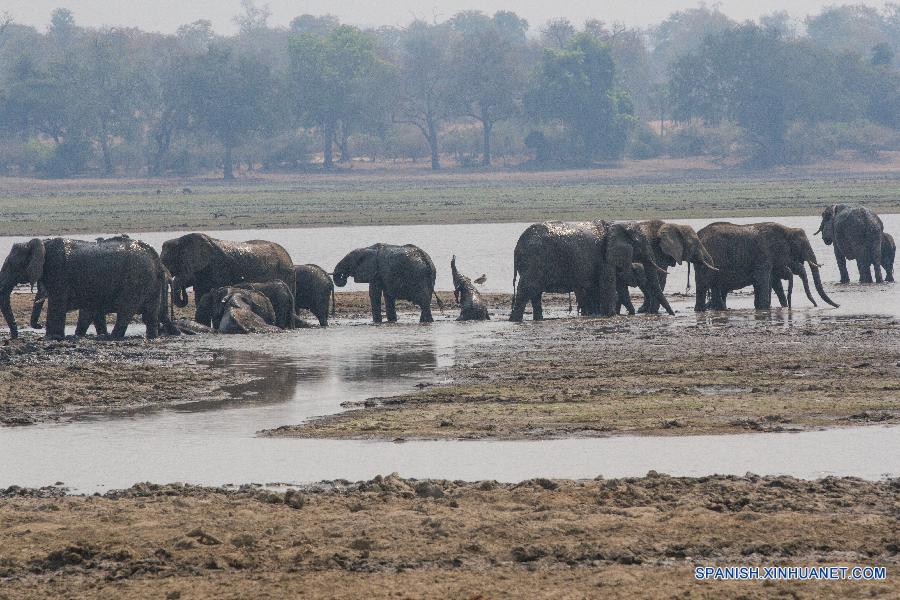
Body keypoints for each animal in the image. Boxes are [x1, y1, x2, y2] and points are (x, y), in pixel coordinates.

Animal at [512, 220, 668, 322]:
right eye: (641, 244)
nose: (671, 314)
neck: (618, 225)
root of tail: (517, 246)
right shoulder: (604, 258)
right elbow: (607, 286)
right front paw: (611, 315)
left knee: (535, 292)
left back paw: (538, 319)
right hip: (533, 260)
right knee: (526, 289)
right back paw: (515, 320)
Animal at [696, 223, 836, 312]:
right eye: (800, 245)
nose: (815, 305)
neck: (787, 229)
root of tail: (699, 235)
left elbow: (769, 282)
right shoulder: (763, 255)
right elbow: (762, 280)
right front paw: (764, 308)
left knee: (709, 286)